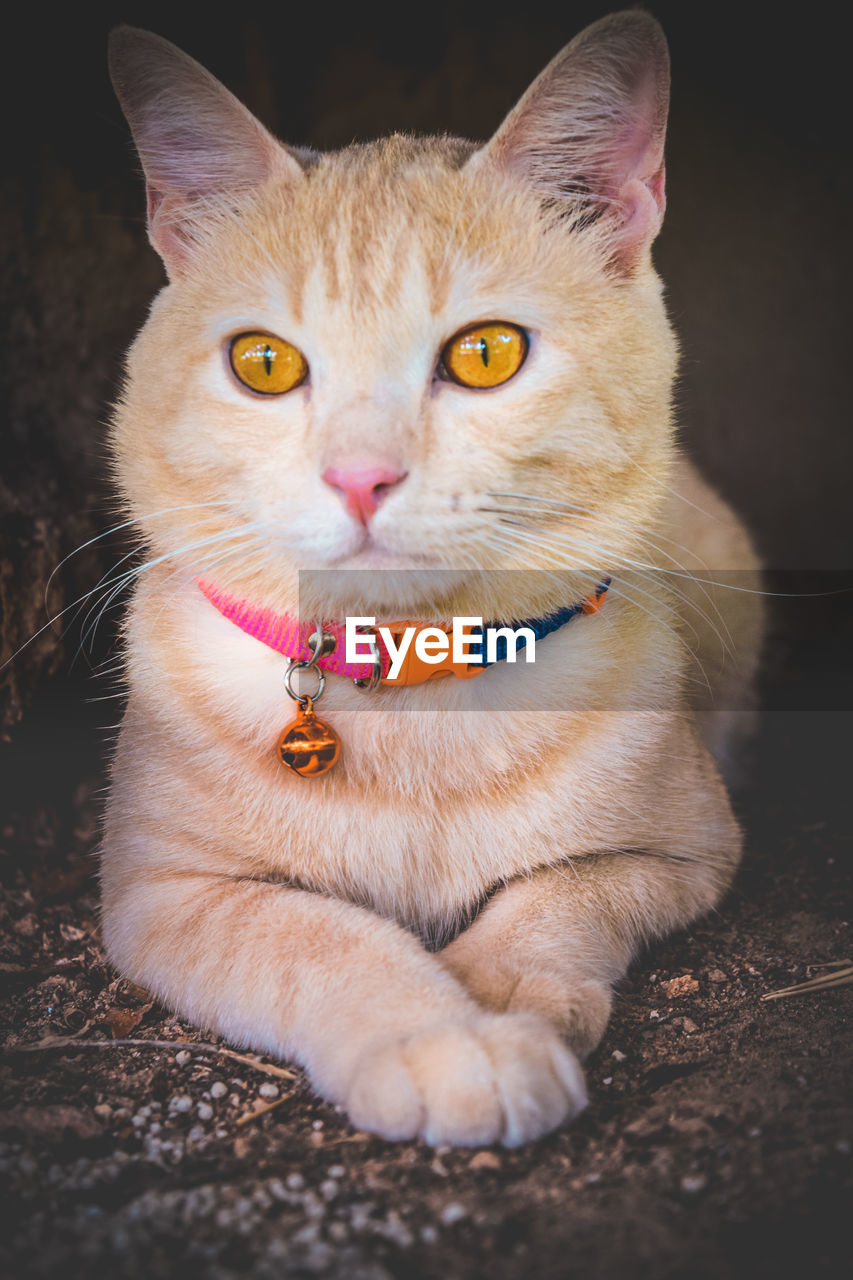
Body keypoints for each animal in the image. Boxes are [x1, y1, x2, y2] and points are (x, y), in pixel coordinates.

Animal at [103, 10, 758, 1146]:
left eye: (487, 353)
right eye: (264, 364)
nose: (360, 476)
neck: (412, 700)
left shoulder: (686, 850)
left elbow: (558, 894)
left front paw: (498, 993)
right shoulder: (160, 890)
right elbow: (314, 932)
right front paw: (445, 1036)